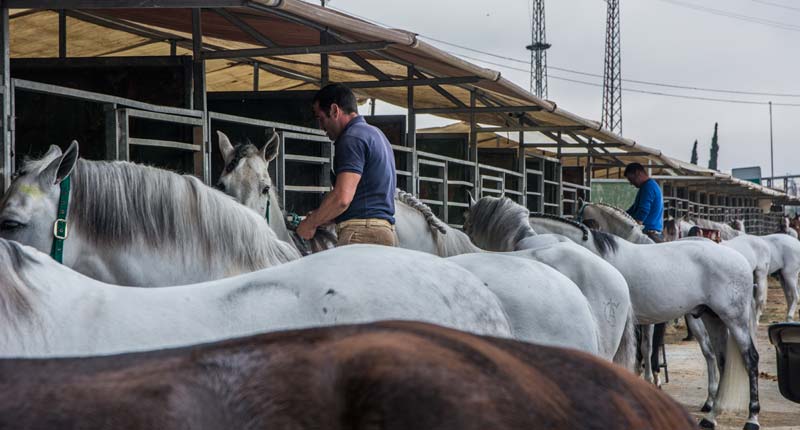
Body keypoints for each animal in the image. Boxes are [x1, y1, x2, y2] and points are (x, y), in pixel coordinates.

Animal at [468, 197, 764, 430]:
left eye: (468, 223)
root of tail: (740, 259)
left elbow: (643, 354)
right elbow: (644, 352)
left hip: (733, 319)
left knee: (749, 358)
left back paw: (752, 419)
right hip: (711, 318)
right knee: (722, 361)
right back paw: (711, 416)